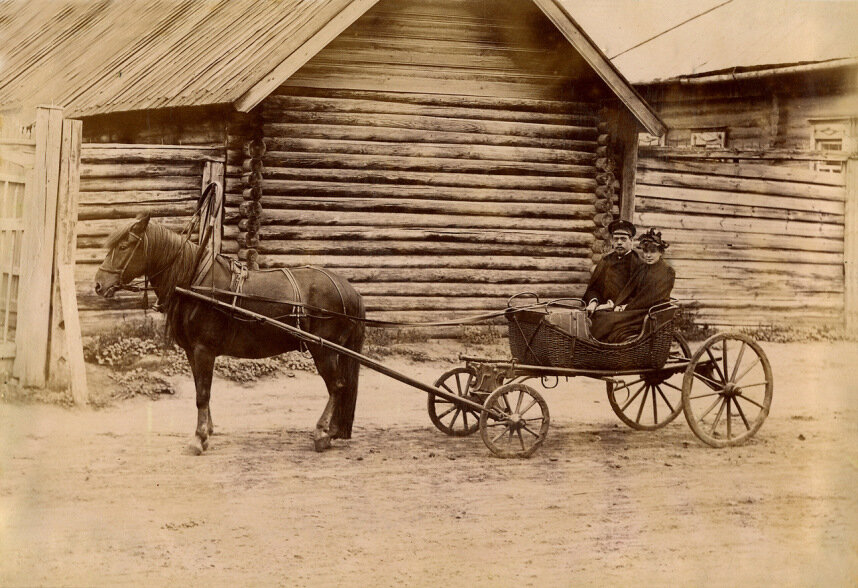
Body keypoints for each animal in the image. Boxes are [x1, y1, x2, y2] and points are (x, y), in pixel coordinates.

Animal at [94, 212, 364, 454]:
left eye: (124, 246)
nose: (98, 284)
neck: (193, 281)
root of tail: (348, 289)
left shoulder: (204, 350)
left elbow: (202, 394)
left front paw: (198, 438)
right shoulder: (192, 352)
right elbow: (200, 390)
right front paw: (207, 432)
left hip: (323, 350)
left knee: (337, 386)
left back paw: (322, 433)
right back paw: (333, 430)